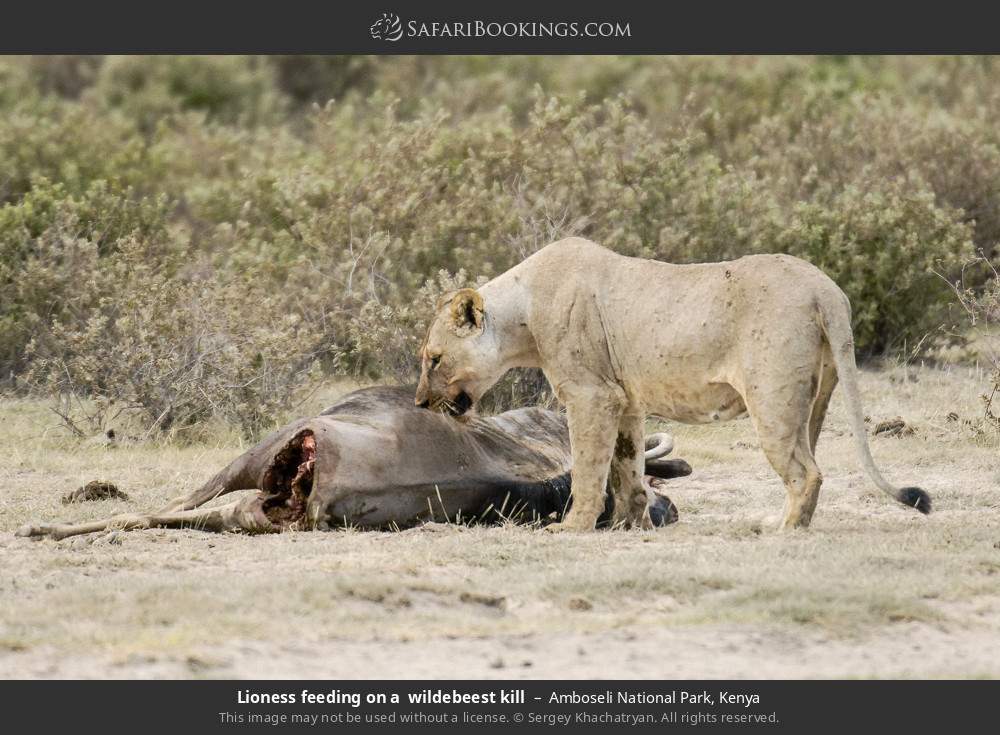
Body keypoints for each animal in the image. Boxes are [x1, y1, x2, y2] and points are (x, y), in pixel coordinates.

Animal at [415, 237, 931, 532]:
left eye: (434, 358)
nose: (420, 402)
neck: (523, 313)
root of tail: (827, 288)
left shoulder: (590, 395)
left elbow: (588, 470)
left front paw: (572, 527)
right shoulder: (624, 398)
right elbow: (626, 467)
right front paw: (628, 524)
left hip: (773, 398)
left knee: (808, 472)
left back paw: (781, 528)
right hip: (816, 397)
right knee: (813, 462)